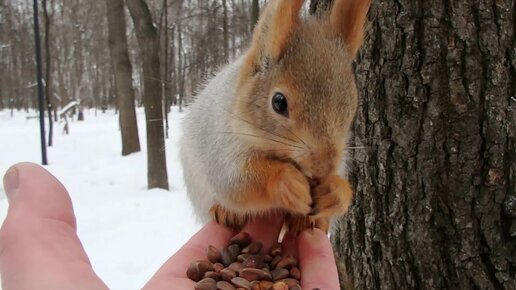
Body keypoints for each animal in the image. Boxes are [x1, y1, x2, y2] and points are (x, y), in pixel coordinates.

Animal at [180, 0, 370, 234]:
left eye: (352, 103)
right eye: (278, 102)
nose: (324, 166)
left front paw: (334, 191)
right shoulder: (221, 143)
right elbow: (235, 182)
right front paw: (286, 182)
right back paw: (226, 212)